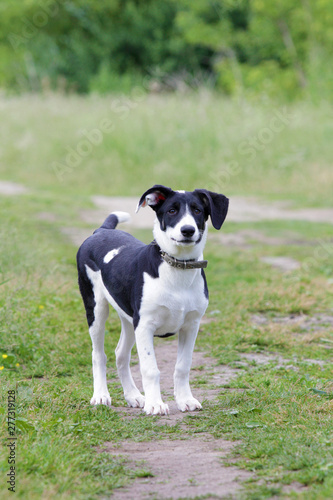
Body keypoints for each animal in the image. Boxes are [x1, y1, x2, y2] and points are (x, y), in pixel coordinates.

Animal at [77, 186, 228, 416]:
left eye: (198, 210)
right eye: (172, 210)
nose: (187, 230)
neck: (177, 269)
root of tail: (101, 231)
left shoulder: (191, 325)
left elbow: (182, 366)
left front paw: (185, 399)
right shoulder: (145, 325)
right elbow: (150, 369)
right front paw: (155, 404)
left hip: (129, 320)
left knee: (121, 354)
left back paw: (133, 396)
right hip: (96, 308)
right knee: (98, 354)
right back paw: (101, 395)